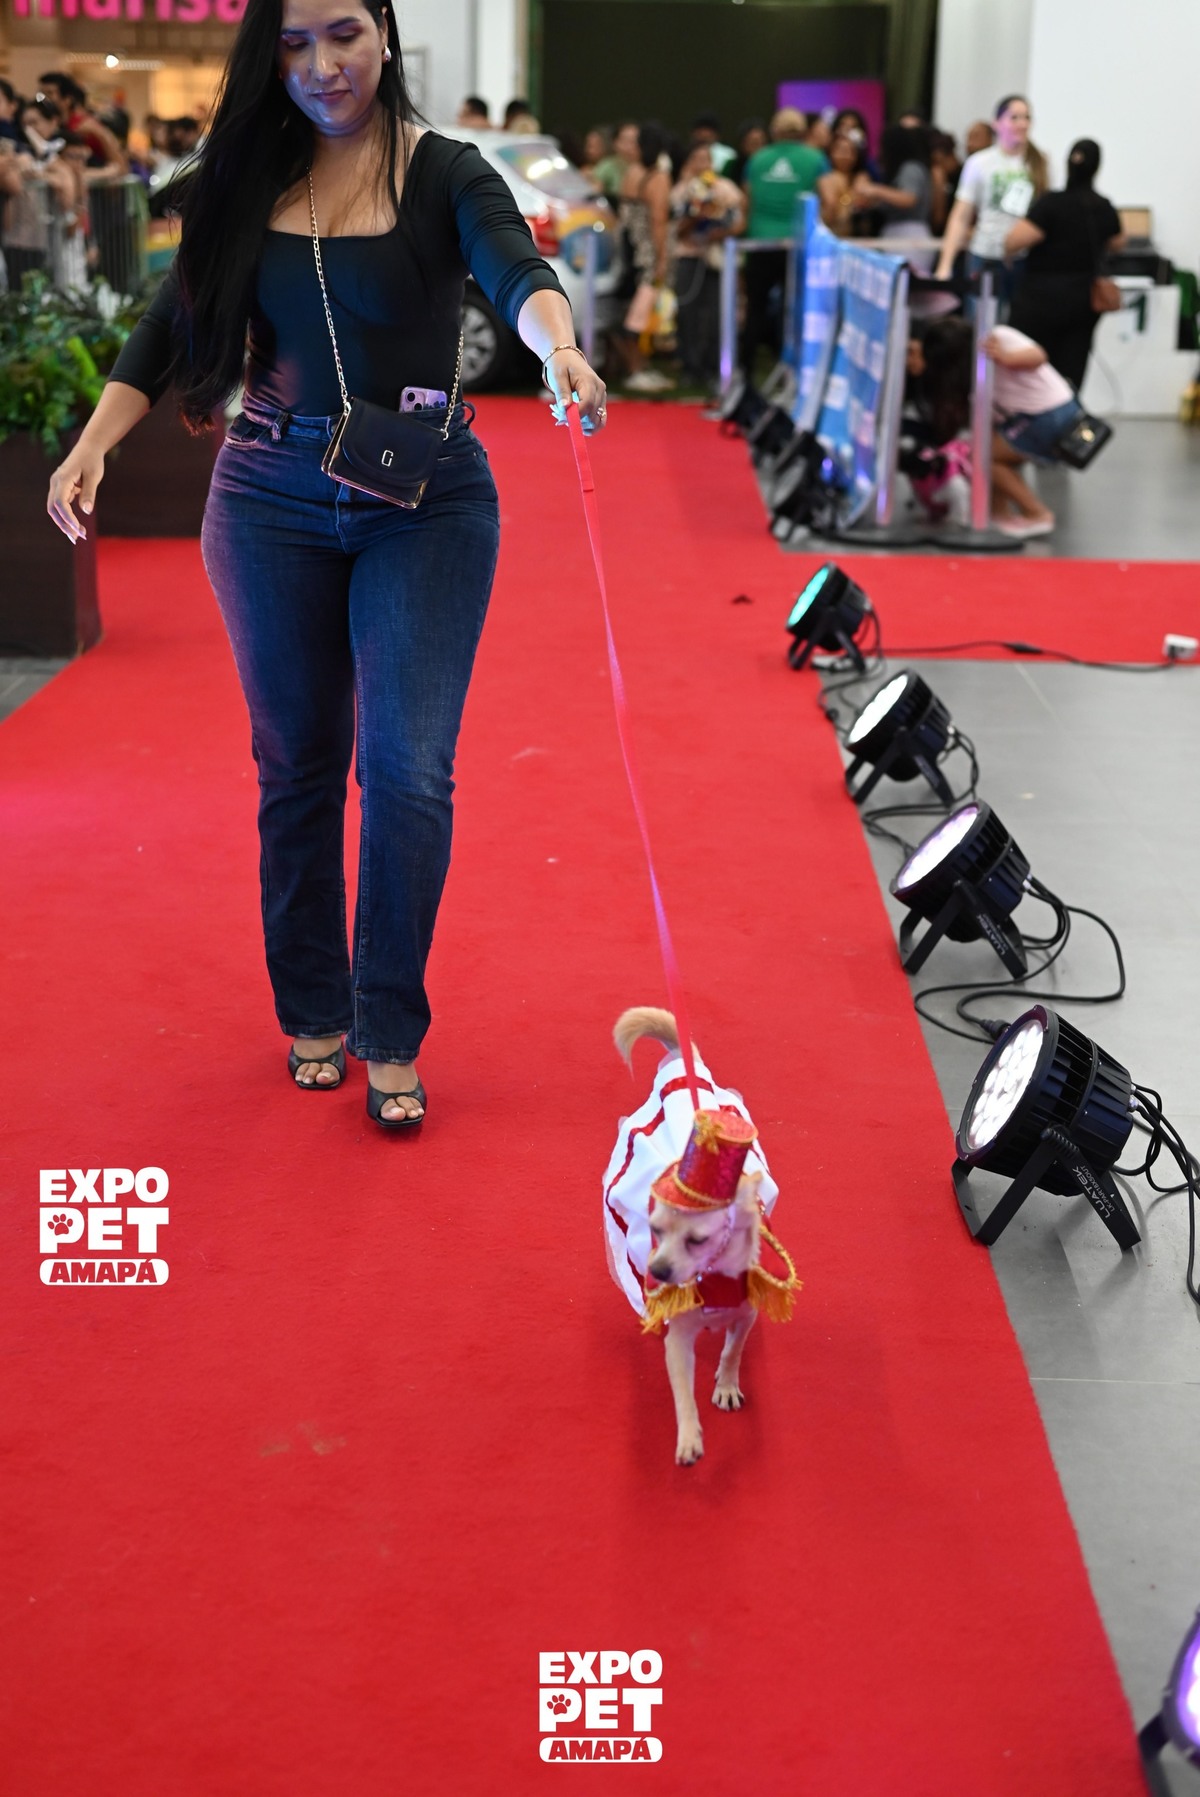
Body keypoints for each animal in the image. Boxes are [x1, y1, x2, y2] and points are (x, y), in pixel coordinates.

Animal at [603, 1007, 793, 1466]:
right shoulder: (680, 1342)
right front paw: (689, 1436)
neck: (716, 1278)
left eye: (698, 1240)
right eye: (654, 1230)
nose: (657, 1272)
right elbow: (682, 1392)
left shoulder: (745, 1317)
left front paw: (726, 1384)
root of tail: (682, 1072)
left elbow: (732, 1350)